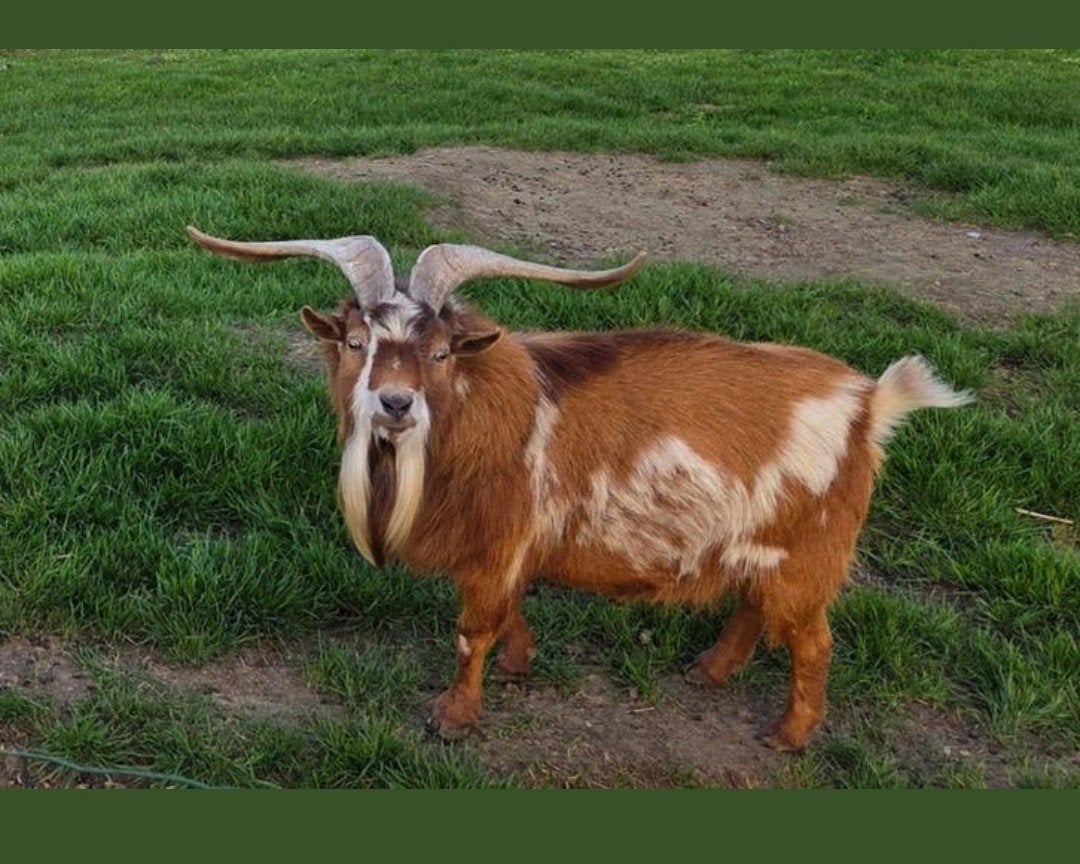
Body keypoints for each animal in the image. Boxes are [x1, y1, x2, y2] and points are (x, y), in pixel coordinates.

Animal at [188, 226, 973, 750]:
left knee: (813, 643)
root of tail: (869, 404)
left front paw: (454, 717)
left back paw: (789, 733)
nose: (395, 404)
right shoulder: (501, 545)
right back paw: (710, 672)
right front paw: (519, 665)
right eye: (356, 344)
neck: (479, 410)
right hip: (760, 542)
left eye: (440, 353)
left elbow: (472, 629)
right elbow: (506, 612)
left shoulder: (500, 538)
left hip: (806, 552)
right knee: (754, 607)